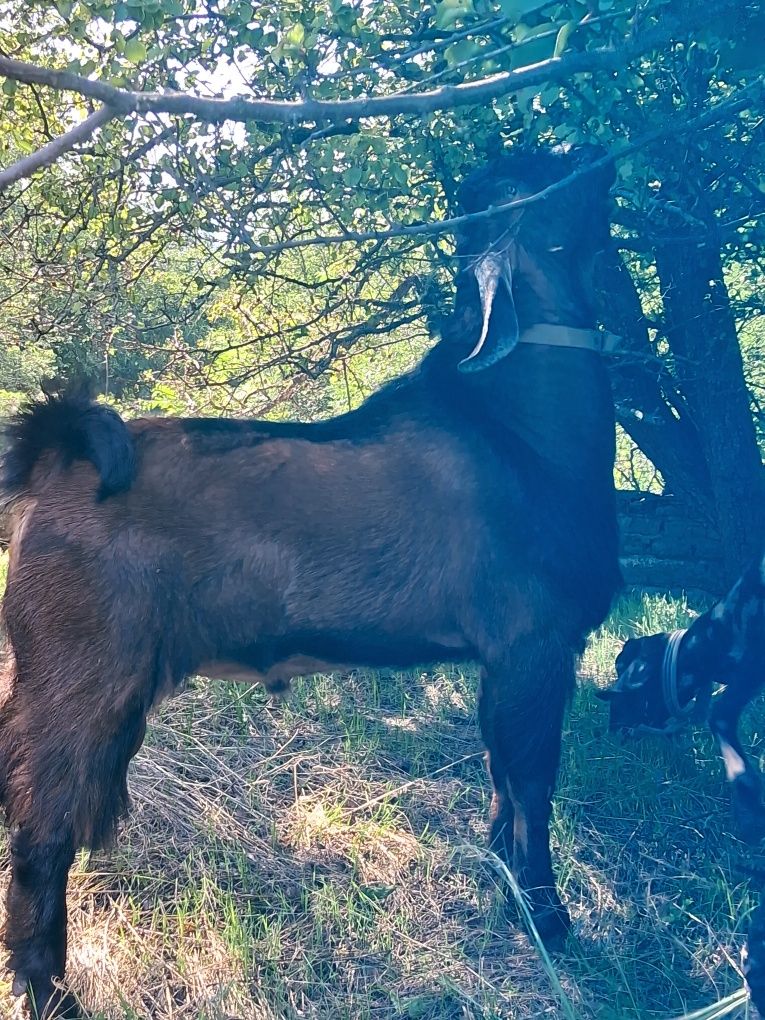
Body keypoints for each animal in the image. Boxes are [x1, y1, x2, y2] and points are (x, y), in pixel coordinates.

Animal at [0, 145, 624, 1020]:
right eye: (526, 182)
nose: (598, 156)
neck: (515, 425)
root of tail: (60, 459)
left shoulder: (504, 663)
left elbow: (502, 783)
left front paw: (511, 895)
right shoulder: (533, 645)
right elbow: (533, 785)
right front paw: (547, 917)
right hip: (82, 677)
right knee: (42, 825)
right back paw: (46, 988)